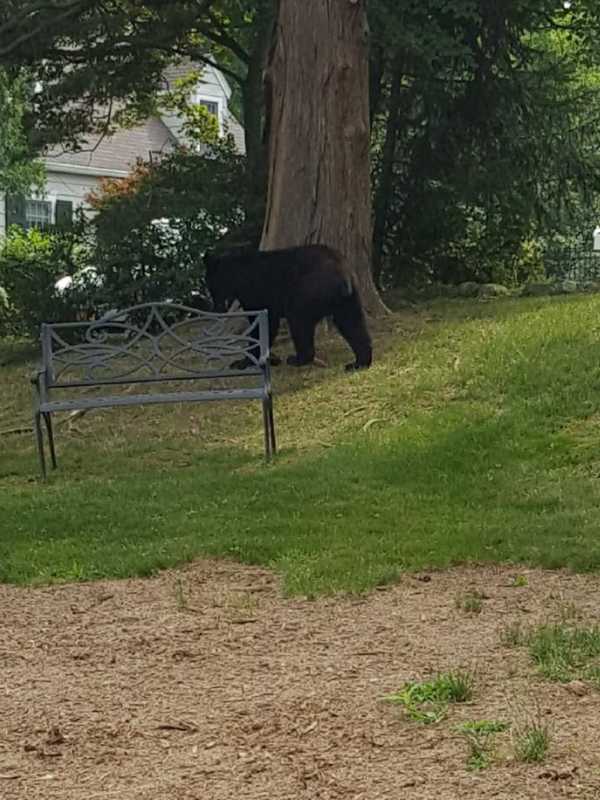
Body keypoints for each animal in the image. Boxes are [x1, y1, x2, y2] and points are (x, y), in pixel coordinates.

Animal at [204, 244, 372, 372]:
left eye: (211, 285)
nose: (216, 307)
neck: (236, 274)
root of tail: (343, 274)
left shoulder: (255, 293)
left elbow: (262, 326)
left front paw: (243, 361)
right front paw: (271, 358)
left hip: (306, 292)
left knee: (299, 321)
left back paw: (296, 359)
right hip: (347, 301)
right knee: (353, 325)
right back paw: (359, 363)